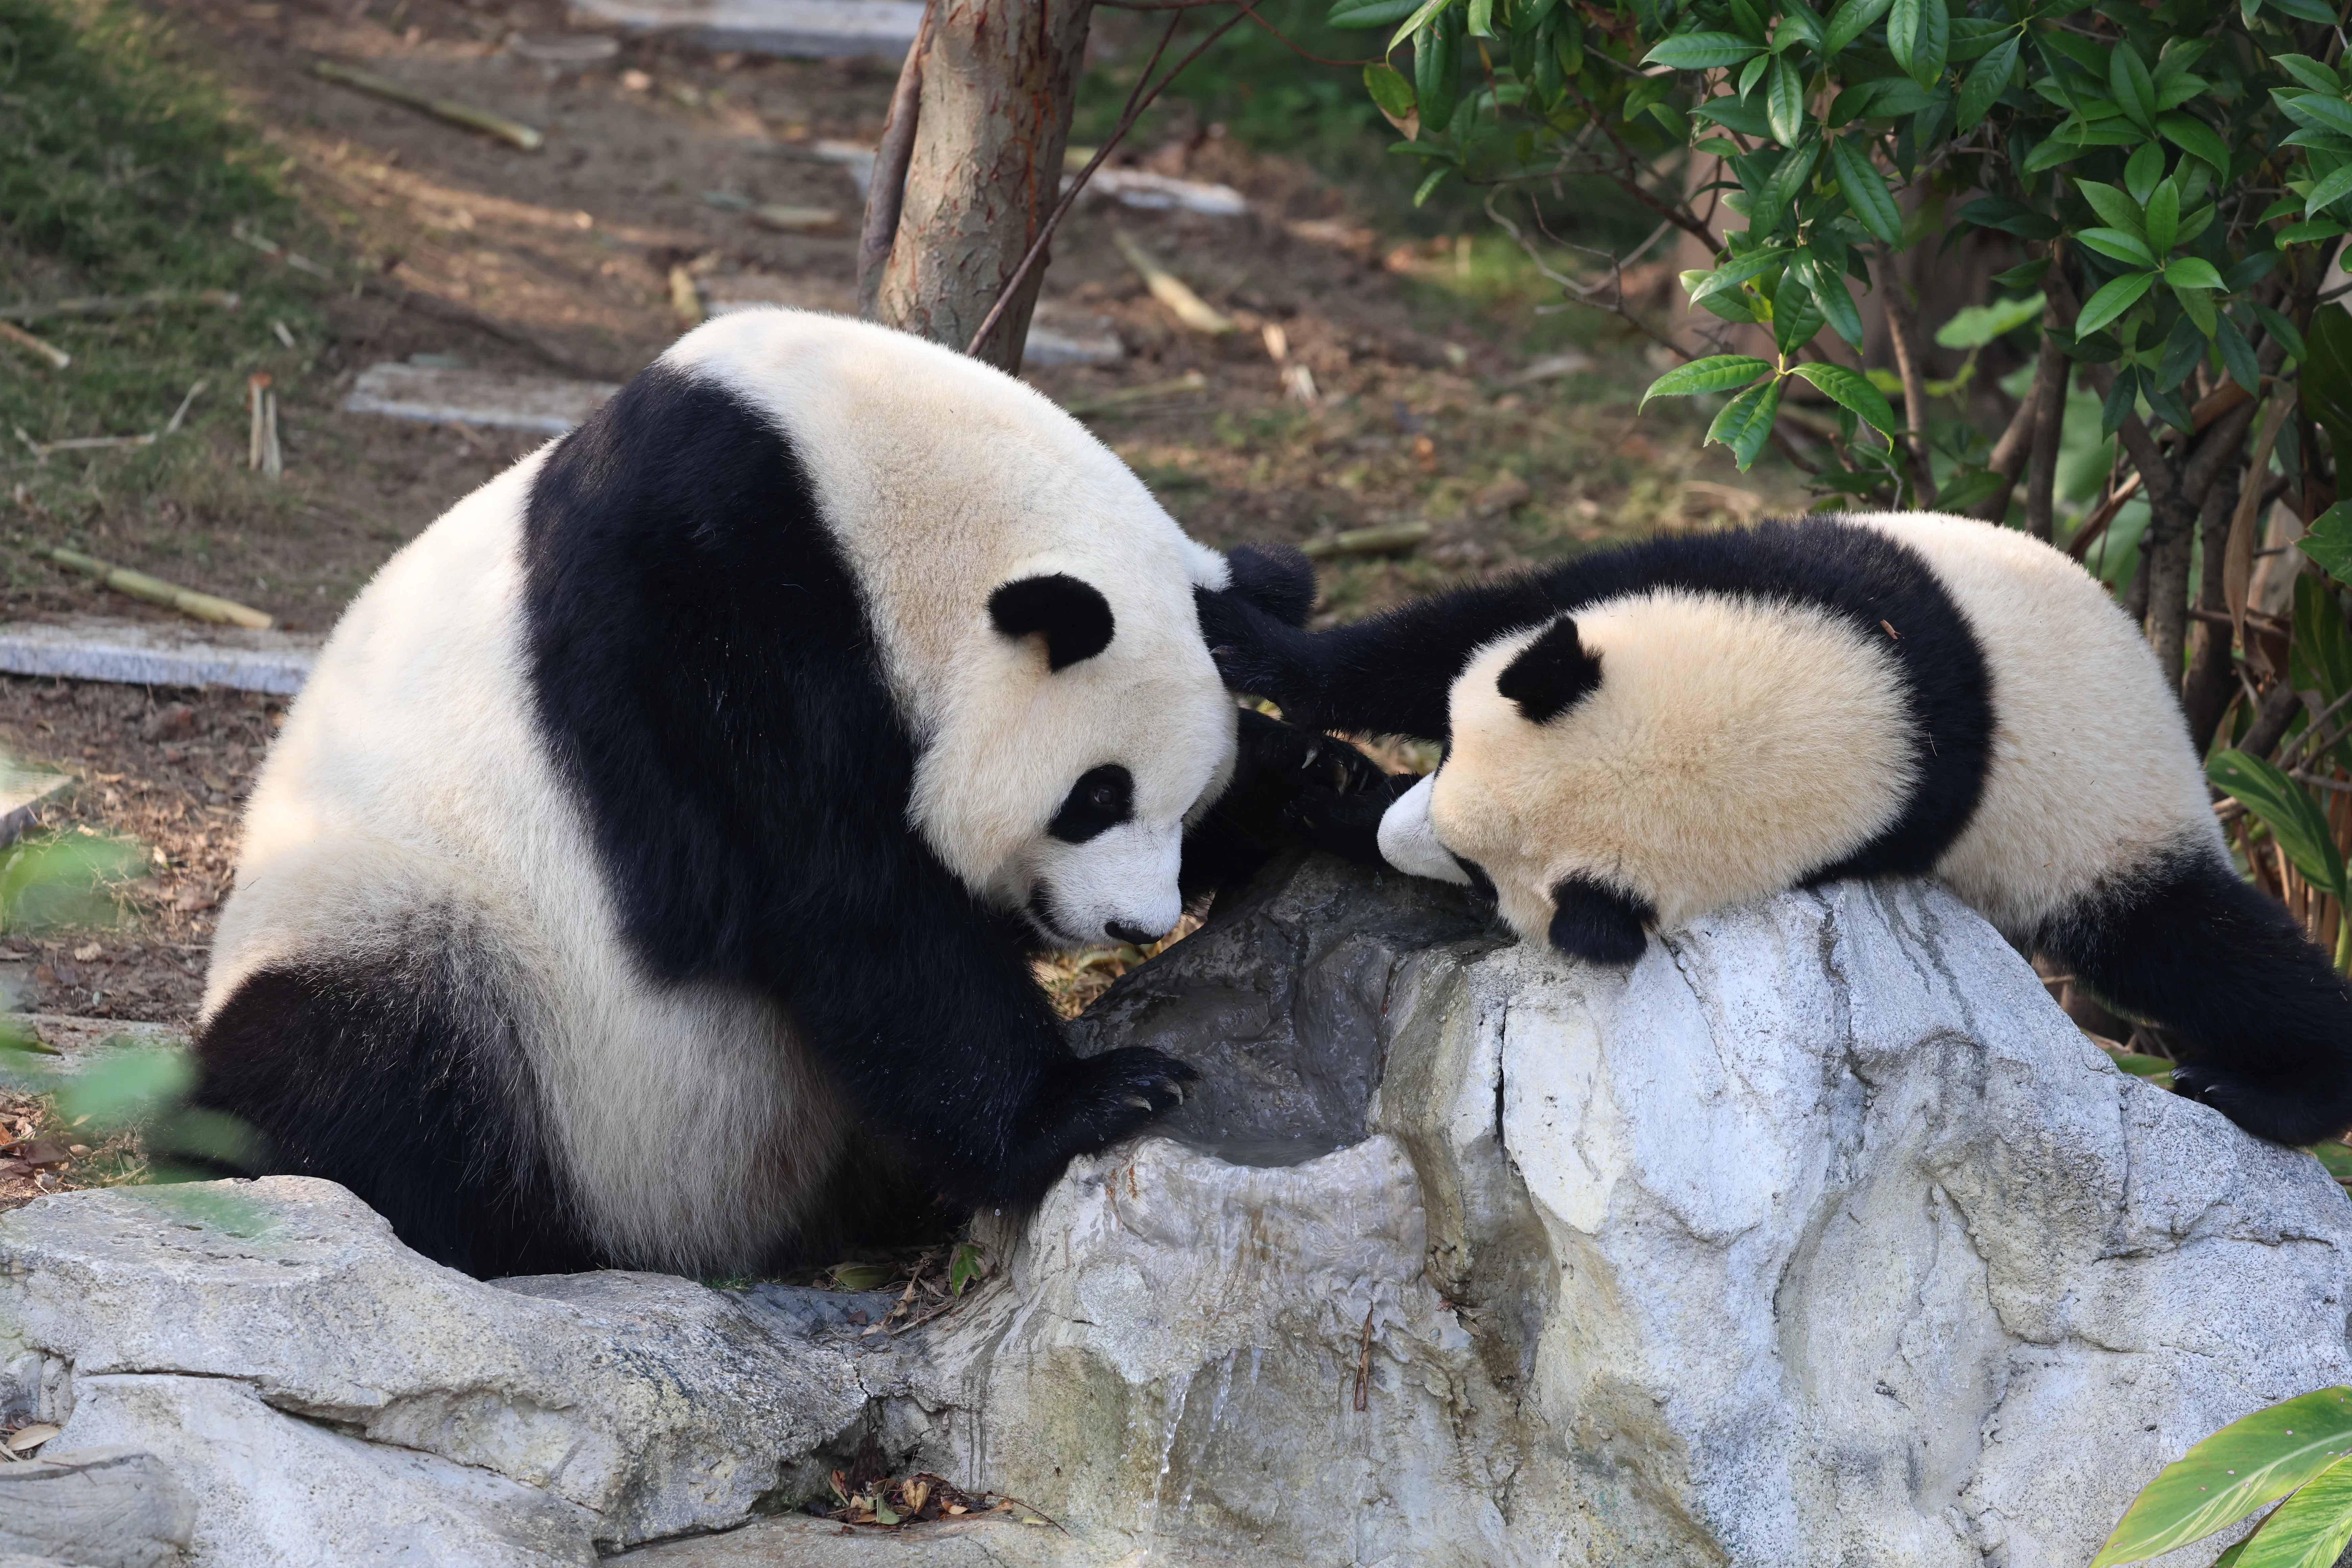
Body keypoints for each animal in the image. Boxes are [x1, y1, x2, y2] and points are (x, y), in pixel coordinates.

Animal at [194, 309, 1358, 1279]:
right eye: (1096, 796)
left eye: (1182, 805)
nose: (1135, 925)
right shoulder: (707, 609)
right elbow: (840, 896)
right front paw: (1092, 1101)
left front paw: (1321, 784)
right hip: (426, 940)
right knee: (345, 1067)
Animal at [1198, 510, 2352, 1148]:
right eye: (1445, 752)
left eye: (1484, 882)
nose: (1407, 827)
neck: (1880, 694)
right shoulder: (1762, 572)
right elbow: (1457, 630)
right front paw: (1267, 674)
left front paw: (1332, 801)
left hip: (2107, 825)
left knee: (2196, 945)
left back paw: (2270, 1092)